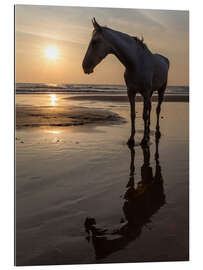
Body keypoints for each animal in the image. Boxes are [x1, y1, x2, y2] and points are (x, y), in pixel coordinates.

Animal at [81, 18, 169, 146]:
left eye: (94, 42)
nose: (84, 66)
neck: (136, 63)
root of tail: (165, 59)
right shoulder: (131, 92)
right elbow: (133, 115)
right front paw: (132, 139)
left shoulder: (145, 92)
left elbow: (144, 115)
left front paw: (143, 140)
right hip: (151, 92)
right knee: (150, 108)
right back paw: (148, 131)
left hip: (161, 90)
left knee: (157, 109)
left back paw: (156, 132)